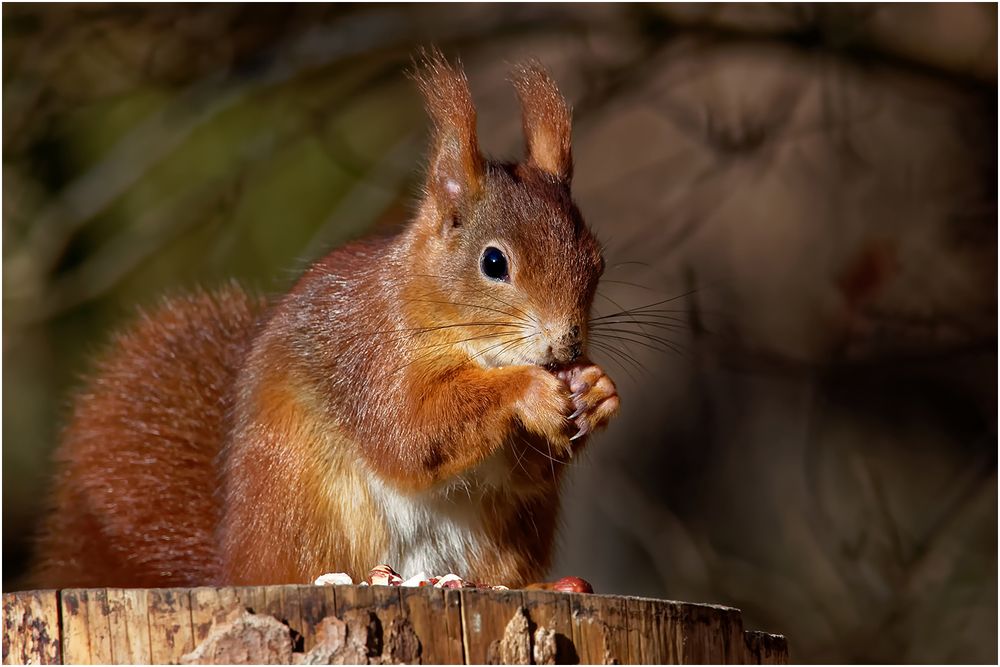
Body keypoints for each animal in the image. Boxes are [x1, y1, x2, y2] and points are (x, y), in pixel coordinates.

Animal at [33, 52, 616, 588]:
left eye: (597, 259)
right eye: (494, 262)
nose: (568, 343)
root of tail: (234, 568)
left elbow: (526, 471)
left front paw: (597, 390)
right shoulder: (369, 358)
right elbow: (411, 431)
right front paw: (529, 392)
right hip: (301, 507)